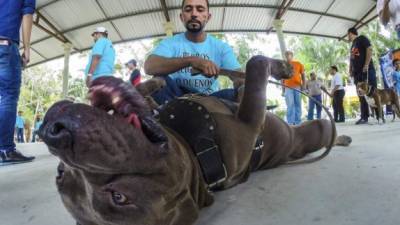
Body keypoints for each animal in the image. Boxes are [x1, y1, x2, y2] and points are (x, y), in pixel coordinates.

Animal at [38, 55, 350, 225]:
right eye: (119, 197)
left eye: (60, 173)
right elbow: (255, 66)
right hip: (300, 135)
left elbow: (149, 93)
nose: (56, 132)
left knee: (239, 85)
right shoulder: (249, 122)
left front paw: (148, 84)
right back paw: (338, 135)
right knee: (318, 129)